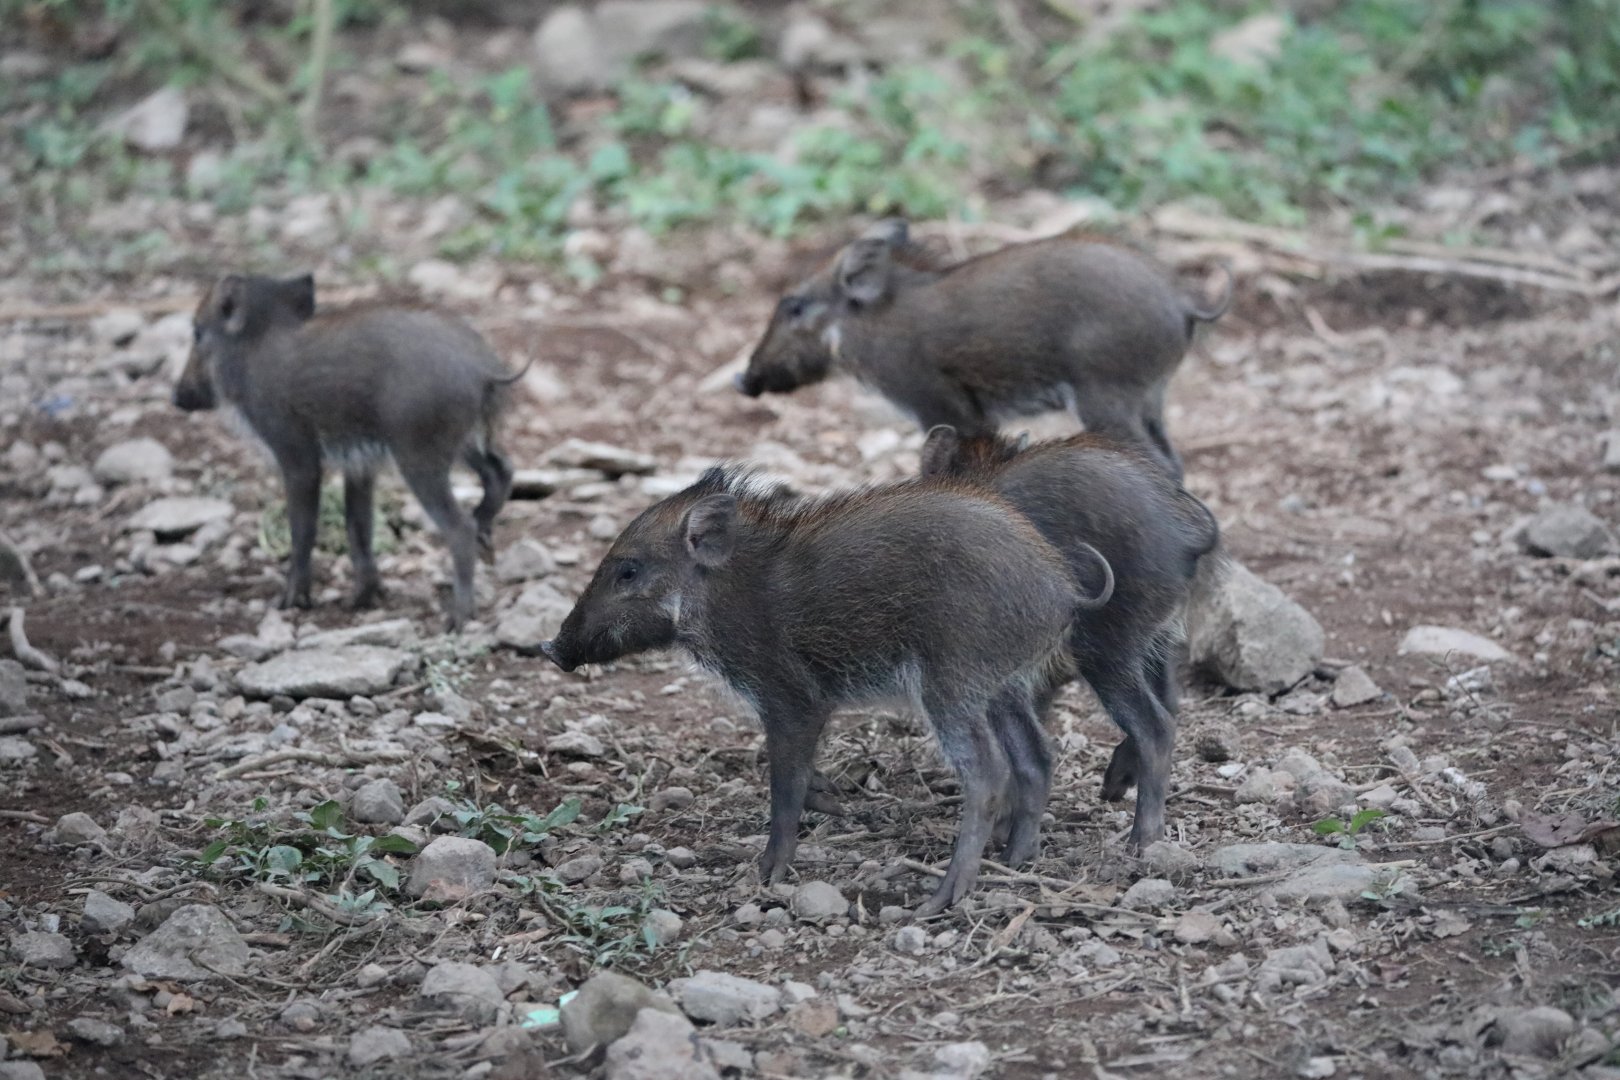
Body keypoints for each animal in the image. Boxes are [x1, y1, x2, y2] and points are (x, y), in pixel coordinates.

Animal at [173, 273, 525, 629]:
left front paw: (289, 601)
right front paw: (363, 600)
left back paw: (458, 617)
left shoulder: (296, 453)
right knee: (501, 470)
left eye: (198, 332)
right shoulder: (359, 464)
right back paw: (485, 540)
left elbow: (303, 528)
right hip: (466, 441)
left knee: (460, 526)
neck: (254, 350)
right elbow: (358, 526)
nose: (177, 397)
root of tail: (484, 371)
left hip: (420, 453)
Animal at [539, 467, 1098, 914]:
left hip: (952, 684)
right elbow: (803, 779)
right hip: (1003, 685)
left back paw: (941, 897)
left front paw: (768, 873)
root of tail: (1064, 591)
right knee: (1036, 756)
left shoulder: (792, 700)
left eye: (628, 570)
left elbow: (784, 788)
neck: (721, 596)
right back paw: (1017, 858)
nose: (551, 648)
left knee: (987, 774)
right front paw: (835, 803)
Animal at [737, 219, 1230, 479]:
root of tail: (1184, 300)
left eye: (795, 306)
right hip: (1150, 398)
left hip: (1106, 396)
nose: (744, 379)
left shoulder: (941, 406)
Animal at [920, 425, 1221, 851]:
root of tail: (1185, 534)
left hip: (1105, 651)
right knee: (1170, 703)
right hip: (1154, 640)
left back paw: (1140, 840)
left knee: (1156, 727)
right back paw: (1114, 789)